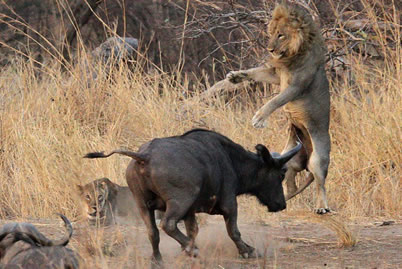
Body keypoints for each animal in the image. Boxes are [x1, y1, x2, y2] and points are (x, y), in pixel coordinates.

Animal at [83, 129, 300, 262]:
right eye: (281, 173)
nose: (281, 204)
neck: (231, 160)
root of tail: (145, 156)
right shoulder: (229, 204)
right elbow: (233, 231)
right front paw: (247, 250)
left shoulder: (190, 212)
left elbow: (193, 230)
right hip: (179, 202)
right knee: (168, 225)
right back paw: (192, 249)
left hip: (142, 204)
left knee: (153, 231)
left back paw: (158, 258)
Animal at [204, 3, 330, 214]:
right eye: (271, 33)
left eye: (281, 35)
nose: (270, 49)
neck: (292, 55)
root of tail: (306, 155)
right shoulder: (276, 75)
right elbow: (256, 72)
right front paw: (236, 77)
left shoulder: (296, 86)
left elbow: (275, 101)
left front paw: (259, 119)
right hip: (288, 161)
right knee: (291, 185)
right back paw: (281, 201)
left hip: (318, 158)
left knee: (320, 182)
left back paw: (322, 207)